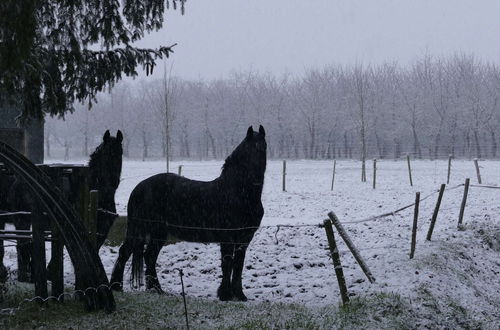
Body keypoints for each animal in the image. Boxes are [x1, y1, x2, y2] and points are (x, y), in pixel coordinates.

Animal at [109, 125, 266, 300]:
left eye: (263, 148)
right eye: (248, 150)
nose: (257, 178)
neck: (238, 194)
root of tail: (139, 187)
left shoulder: (244, 239)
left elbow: (238, 266)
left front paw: (239, 295)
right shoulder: (228, 238)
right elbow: (227, 264)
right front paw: (225, 295)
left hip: (159, 232)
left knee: (149, 256)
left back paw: (156, 289)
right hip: (139, 228)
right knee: (125, 252)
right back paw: (116, 287)